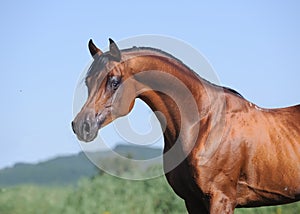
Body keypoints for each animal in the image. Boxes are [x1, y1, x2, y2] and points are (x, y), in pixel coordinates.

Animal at [72, 38, 300, 214]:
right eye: (88, 82)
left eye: (114, 81)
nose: (82, 125)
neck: (203, 124)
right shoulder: (192, 201)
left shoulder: (221, 199)